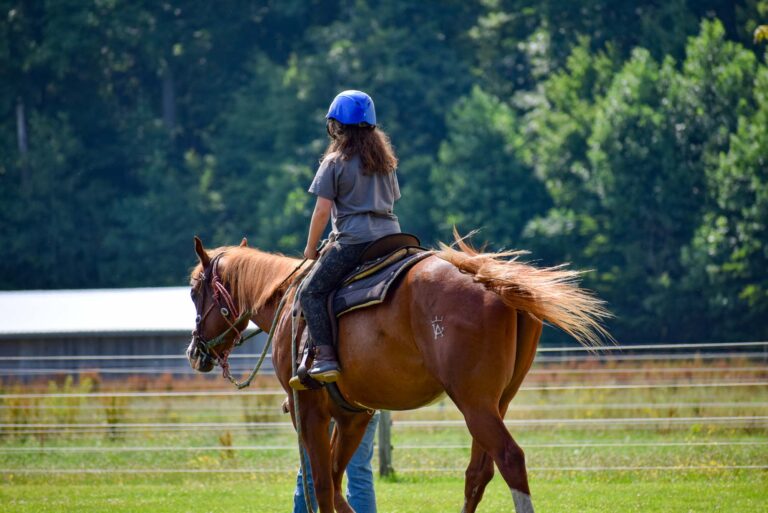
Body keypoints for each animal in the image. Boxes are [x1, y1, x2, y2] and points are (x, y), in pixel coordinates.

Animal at [186, 234, 610, 513]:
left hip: (475, 404)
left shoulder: (308, 408)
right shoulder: (354, 415)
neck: (289, 301)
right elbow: (335, 483)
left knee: (510, 460)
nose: (194, 352)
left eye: (193, 292)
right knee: (478, 473)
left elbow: (321, 483)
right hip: (496, 403)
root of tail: (488, 278)